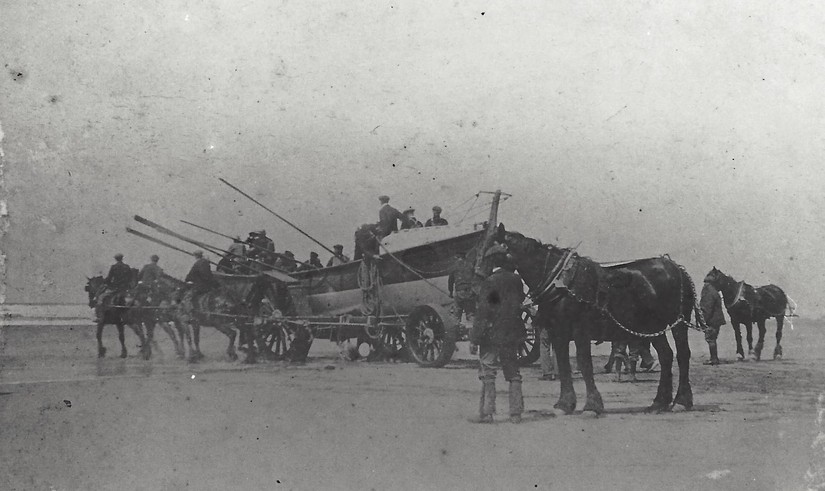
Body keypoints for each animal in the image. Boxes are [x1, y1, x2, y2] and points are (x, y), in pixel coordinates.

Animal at [496, 227, 700, 416]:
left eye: (493, 246)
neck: (560, 283)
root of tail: (677, 269)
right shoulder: (559, 332)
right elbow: (563, 364)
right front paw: (565, 404)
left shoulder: (581, 331)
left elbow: (584, 363)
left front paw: (592, 406)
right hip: (653, 327)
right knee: (666, 355)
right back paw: (659, 402)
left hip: (678, 324)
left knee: (682, 355)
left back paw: (681, 401)